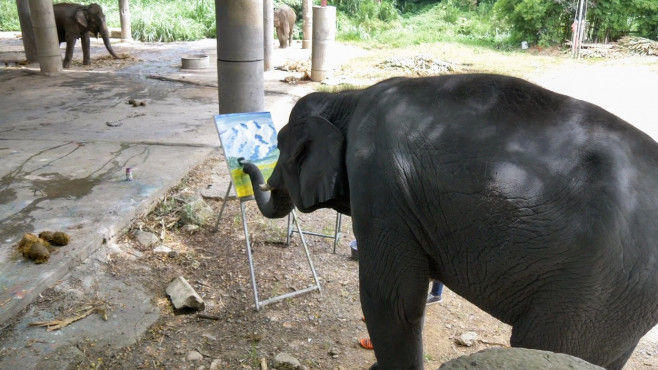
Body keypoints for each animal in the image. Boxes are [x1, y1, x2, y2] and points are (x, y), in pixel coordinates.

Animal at [238, 73, 656, 368]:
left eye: (279, 149)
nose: (242, 164)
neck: (348, 96)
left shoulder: (379, 185)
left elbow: (392, 300)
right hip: (622, 301)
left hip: (596, 288)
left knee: (545, 345)